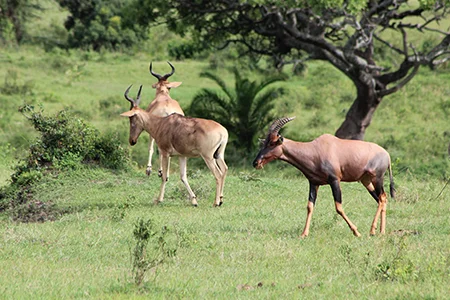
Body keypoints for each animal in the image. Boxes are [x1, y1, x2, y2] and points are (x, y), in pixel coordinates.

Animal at [253, 117, 394, 237]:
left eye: (272, 143)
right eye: (264, 142)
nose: (256, 163)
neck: (315, 149)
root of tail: (387, 155)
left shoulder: (334, 180)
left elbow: (338, 207)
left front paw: (356, 232)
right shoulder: (313, 183)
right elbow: (310, 206)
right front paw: (304, 234)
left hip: (377, 178)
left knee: (382, 198)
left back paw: (373, 231)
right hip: (366, 180)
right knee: (381, 198)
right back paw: (380, 231)